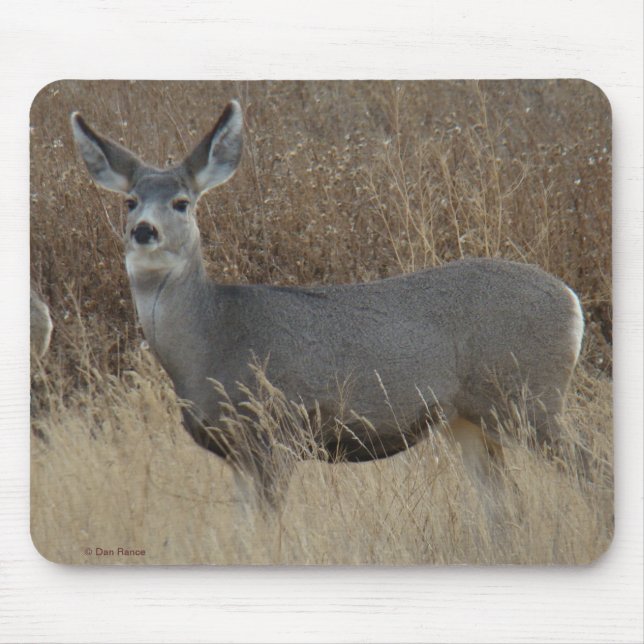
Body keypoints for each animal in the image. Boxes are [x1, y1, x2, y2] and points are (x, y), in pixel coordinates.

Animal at [71, 100, 584, 509]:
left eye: (181, 202)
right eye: (130, 201)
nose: (143, 230)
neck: (209, 342)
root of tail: (571, 300)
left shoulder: (275, 433)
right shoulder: (234, 452)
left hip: (530, 397)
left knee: (586, 471)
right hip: (469, 419)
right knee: (506, 506)